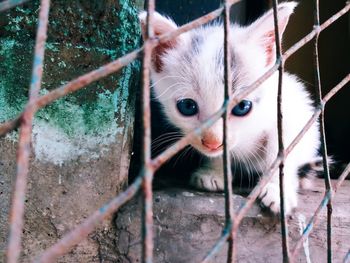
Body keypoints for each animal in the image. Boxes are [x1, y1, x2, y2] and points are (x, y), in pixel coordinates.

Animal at [139, 2, 320, 216]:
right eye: (187, 107)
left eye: (242, 107)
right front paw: (213, 172)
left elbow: (282, 149)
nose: (213, 143)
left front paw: (278, 190)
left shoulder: (287, 111)